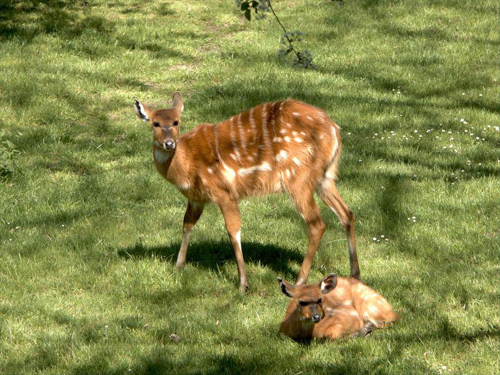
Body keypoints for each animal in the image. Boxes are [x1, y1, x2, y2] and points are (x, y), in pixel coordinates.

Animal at [133, 92, 360, 292]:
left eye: (176, 122)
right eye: (155, 123)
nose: (169, 143)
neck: (187, 165)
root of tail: (334, 130)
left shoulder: (224, 192)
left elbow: (233, 230)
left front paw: (243, 284)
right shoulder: (197, 198)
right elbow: (187, 224)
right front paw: (178, 267)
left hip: (298, 177)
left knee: (317, 223)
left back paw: (298, 282)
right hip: (325, 177)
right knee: (346, 213)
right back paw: (355, 274)